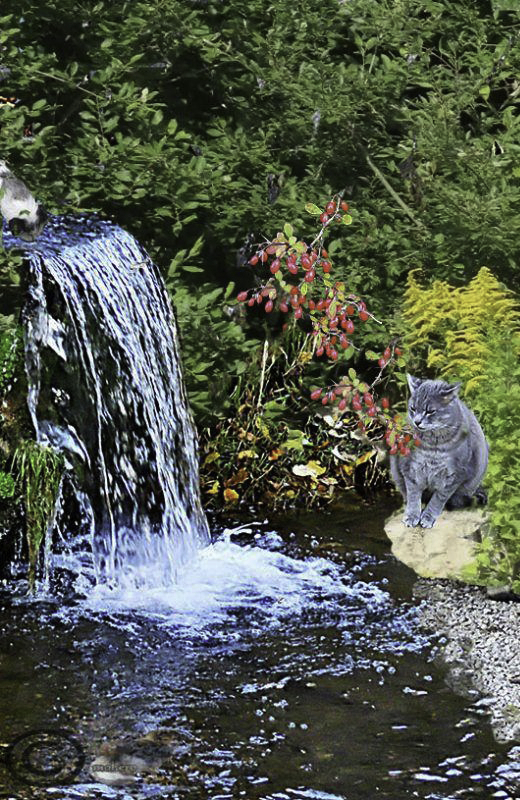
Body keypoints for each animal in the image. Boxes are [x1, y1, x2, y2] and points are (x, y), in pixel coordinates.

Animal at [390, 374, 488, 528]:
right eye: (413, 408)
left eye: (430, 411)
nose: (417, 421)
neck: (431, 446)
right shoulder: (410, 469)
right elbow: (413, 496)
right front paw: (412, 515)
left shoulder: (455, 475)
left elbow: (438, 499)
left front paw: (428, 517)